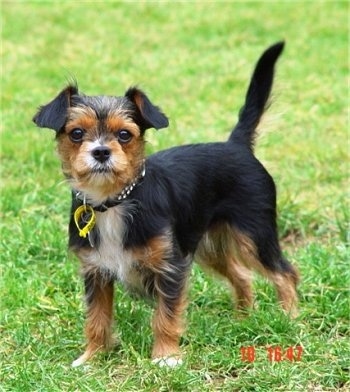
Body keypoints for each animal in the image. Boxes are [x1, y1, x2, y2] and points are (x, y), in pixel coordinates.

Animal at [33, 41, 298, 366]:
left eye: (124, 135)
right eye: (76, 134)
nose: (101, 152)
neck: (114, 202)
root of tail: (236, 145)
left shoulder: (170, 267)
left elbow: (165, 316)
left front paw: (166, 357)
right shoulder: (96, 272)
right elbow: (97, 319)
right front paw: (92, 357)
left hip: (253, 235)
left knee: (285, 272)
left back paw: (290, 317)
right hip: (208, 246)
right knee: (242, 275)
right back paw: (243, 320)